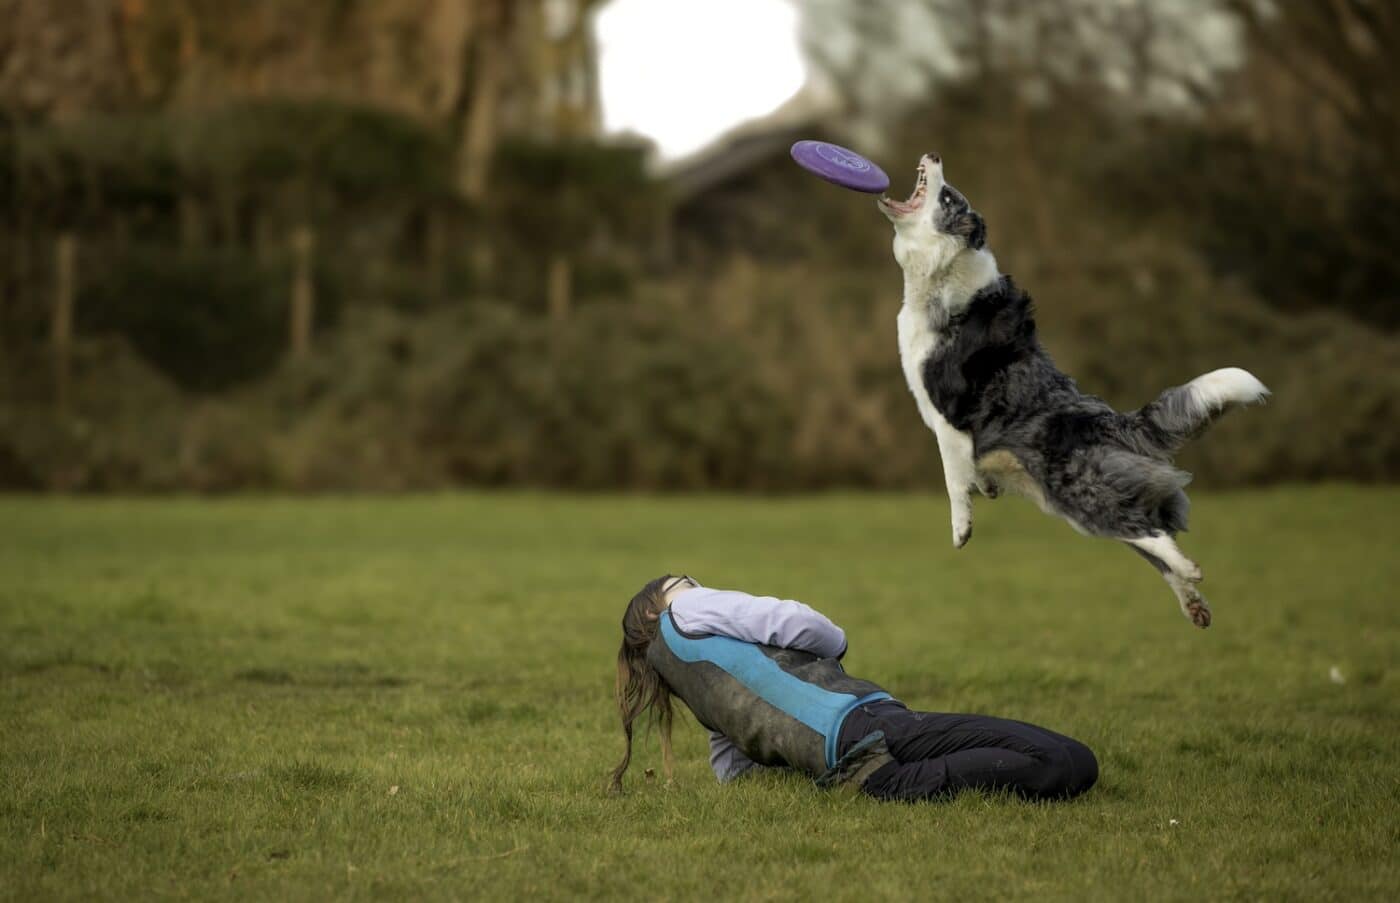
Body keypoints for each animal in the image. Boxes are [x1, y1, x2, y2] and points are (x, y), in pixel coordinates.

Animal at [884, 151, 1271, 627]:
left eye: (948, 196)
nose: (933, 155)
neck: (942, 271)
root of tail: (1110, 420)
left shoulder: (948, 416)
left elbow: (953, 479)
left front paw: (962, 529)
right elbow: (969, 475)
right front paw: (986, 488)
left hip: (1074, 488)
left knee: (1148, 531)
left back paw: (1189, 570)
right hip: (1082, 503)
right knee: (1146, 535)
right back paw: (1192, 601)